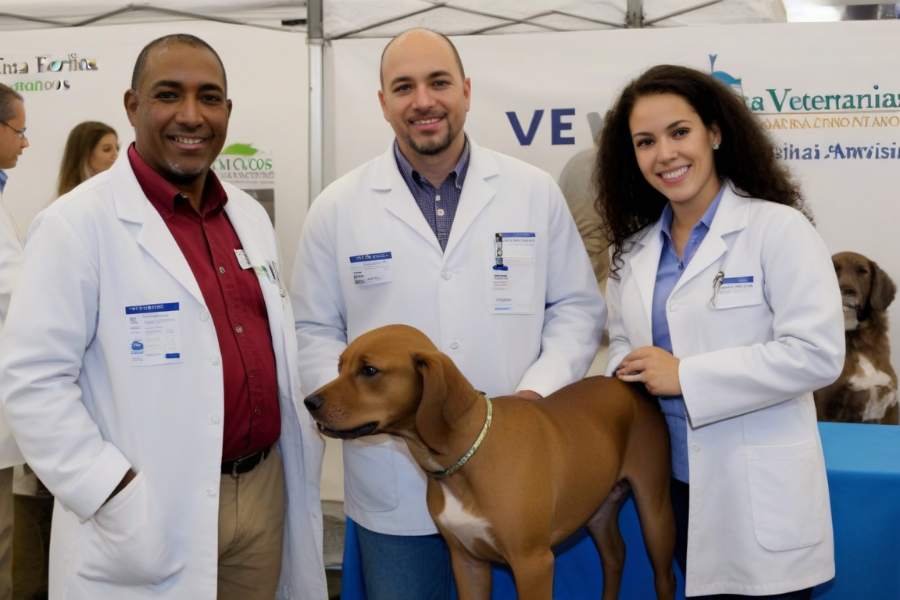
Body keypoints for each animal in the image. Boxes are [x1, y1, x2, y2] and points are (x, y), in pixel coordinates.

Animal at [304, 326, 676, 596]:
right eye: (339, 366)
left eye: (369, 370)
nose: (309, 401)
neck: (467, 457)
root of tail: (626, 385)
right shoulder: (467, 563)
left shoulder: (534, 565)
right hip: (598, 509)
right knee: (615, 556)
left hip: (655, 511)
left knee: (664, 576)